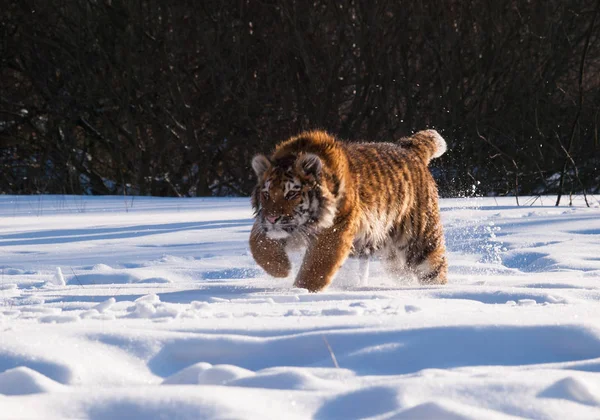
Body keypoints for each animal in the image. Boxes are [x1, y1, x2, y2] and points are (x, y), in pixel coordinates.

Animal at [247, 129, 446, 292]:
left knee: (436, 270)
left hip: (422, 242)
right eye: (266, 194)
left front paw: (300, 291)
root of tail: (411, 150)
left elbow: (315, 267)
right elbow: (258, 245)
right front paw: (281, 270)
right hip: (392, 257)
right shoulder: (268, 226)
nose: (272, 219)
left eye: (291, 193)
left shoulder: (335, 231)